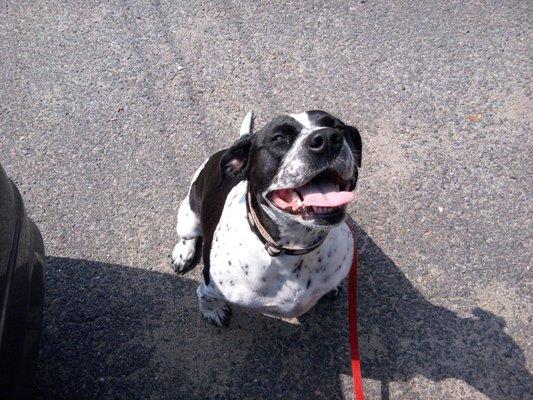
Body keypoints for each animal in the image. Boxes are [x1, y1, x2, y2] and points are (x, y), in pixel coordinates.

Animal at [170, 108, 362, 324]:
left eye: (338, 127)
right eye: (278, 138)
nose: (328, 138)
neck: (293, 248)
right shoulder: (211, 288)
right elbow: (203, 295)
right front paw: (212, 310)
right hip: (188, 218)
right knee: (189, 235)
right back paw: (183, 252)